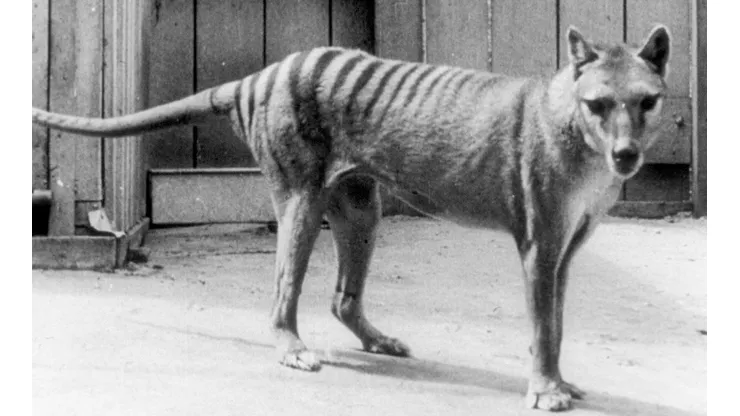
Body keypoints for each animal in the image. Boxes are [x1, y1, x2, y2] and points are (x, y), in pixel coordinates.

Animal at [32, 25, 671, 411]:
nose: (626, 156)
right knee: (282, 294)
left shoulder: (563, 253)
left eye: (647, 100)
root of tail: (258, 77)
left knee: (343, 298)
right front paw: (543, 390)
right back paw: (291, 346)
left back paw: (377, 340)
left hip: (362, 208)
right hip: (300, 201)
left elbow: (557, 327)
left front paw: (559, 382)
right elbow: (541, 330)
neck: (571, 126)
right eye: (598, 104)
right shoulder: (538, 246)